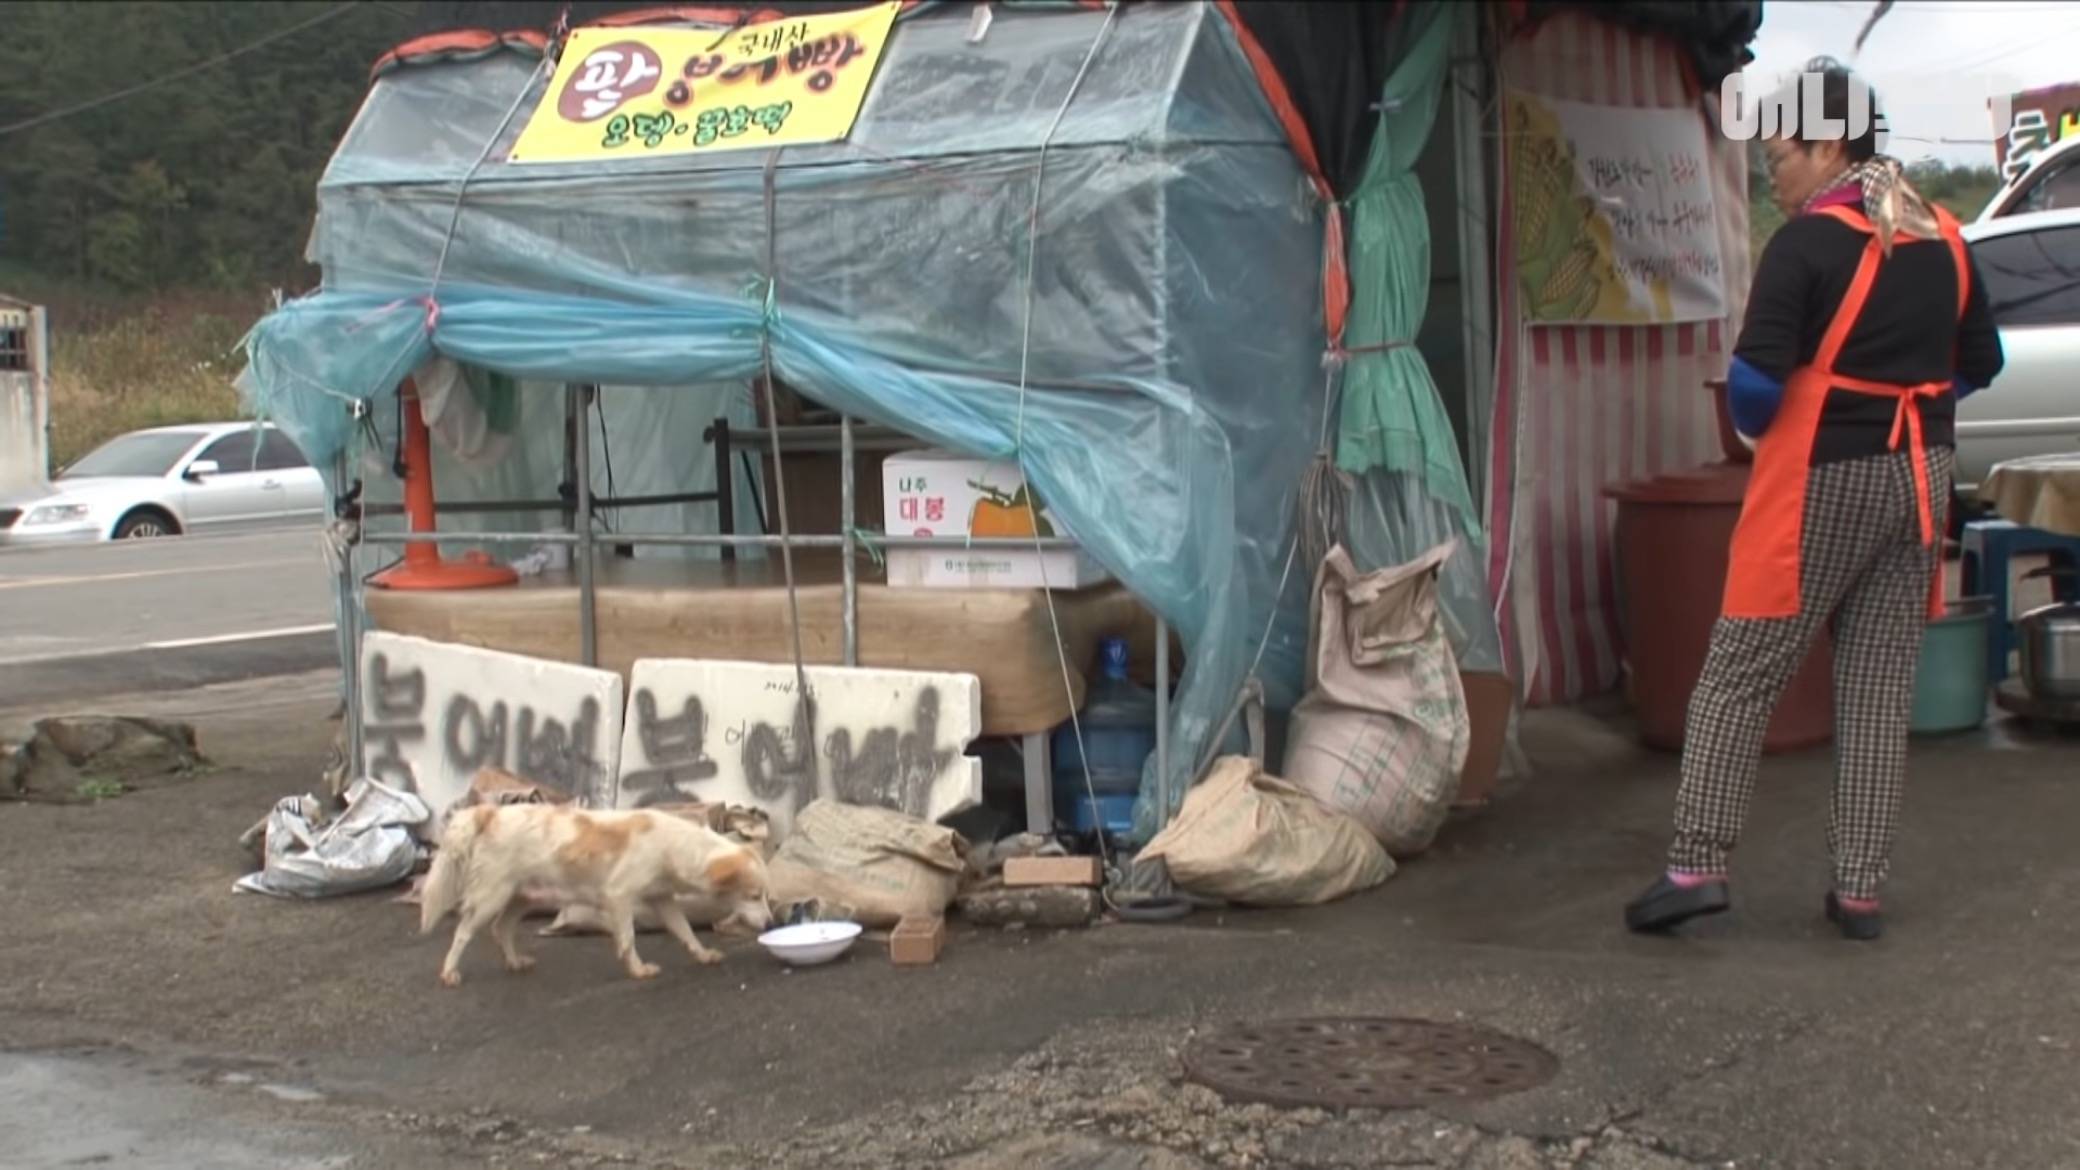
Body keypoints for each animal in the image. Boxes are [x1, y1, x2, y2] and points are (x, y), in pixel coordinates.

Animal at [418, 799, 769, 982]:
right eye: (754, 896)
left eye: (764, 896)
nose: (770, 923)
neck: (672, 845)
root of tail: (490, 812)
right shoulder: (619, 896)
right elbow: (628, 938)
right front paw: (637, 969)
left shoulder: (663, 900)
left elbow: (686, 932)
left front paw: (703, 954)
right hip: (492, 897)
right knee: (463, 932)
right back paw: (449, 972)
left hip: (521, 898)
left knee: (500, 929)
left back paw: (514, 962)